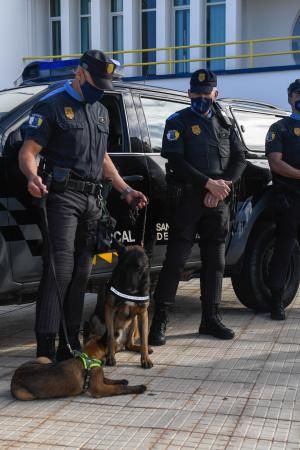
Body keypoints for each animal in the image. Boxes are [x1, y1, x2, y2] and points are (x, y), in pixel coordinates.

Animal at [11, 348, 146, 400]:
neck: (90, 359)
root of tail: (16, 374)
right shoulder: (99, 389)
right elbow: (118, 388)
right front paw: (138, 387)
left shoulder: (99, 380)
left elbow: (107, 379)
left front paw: (122, 380)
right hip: (24, 394)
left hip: (43, 359)